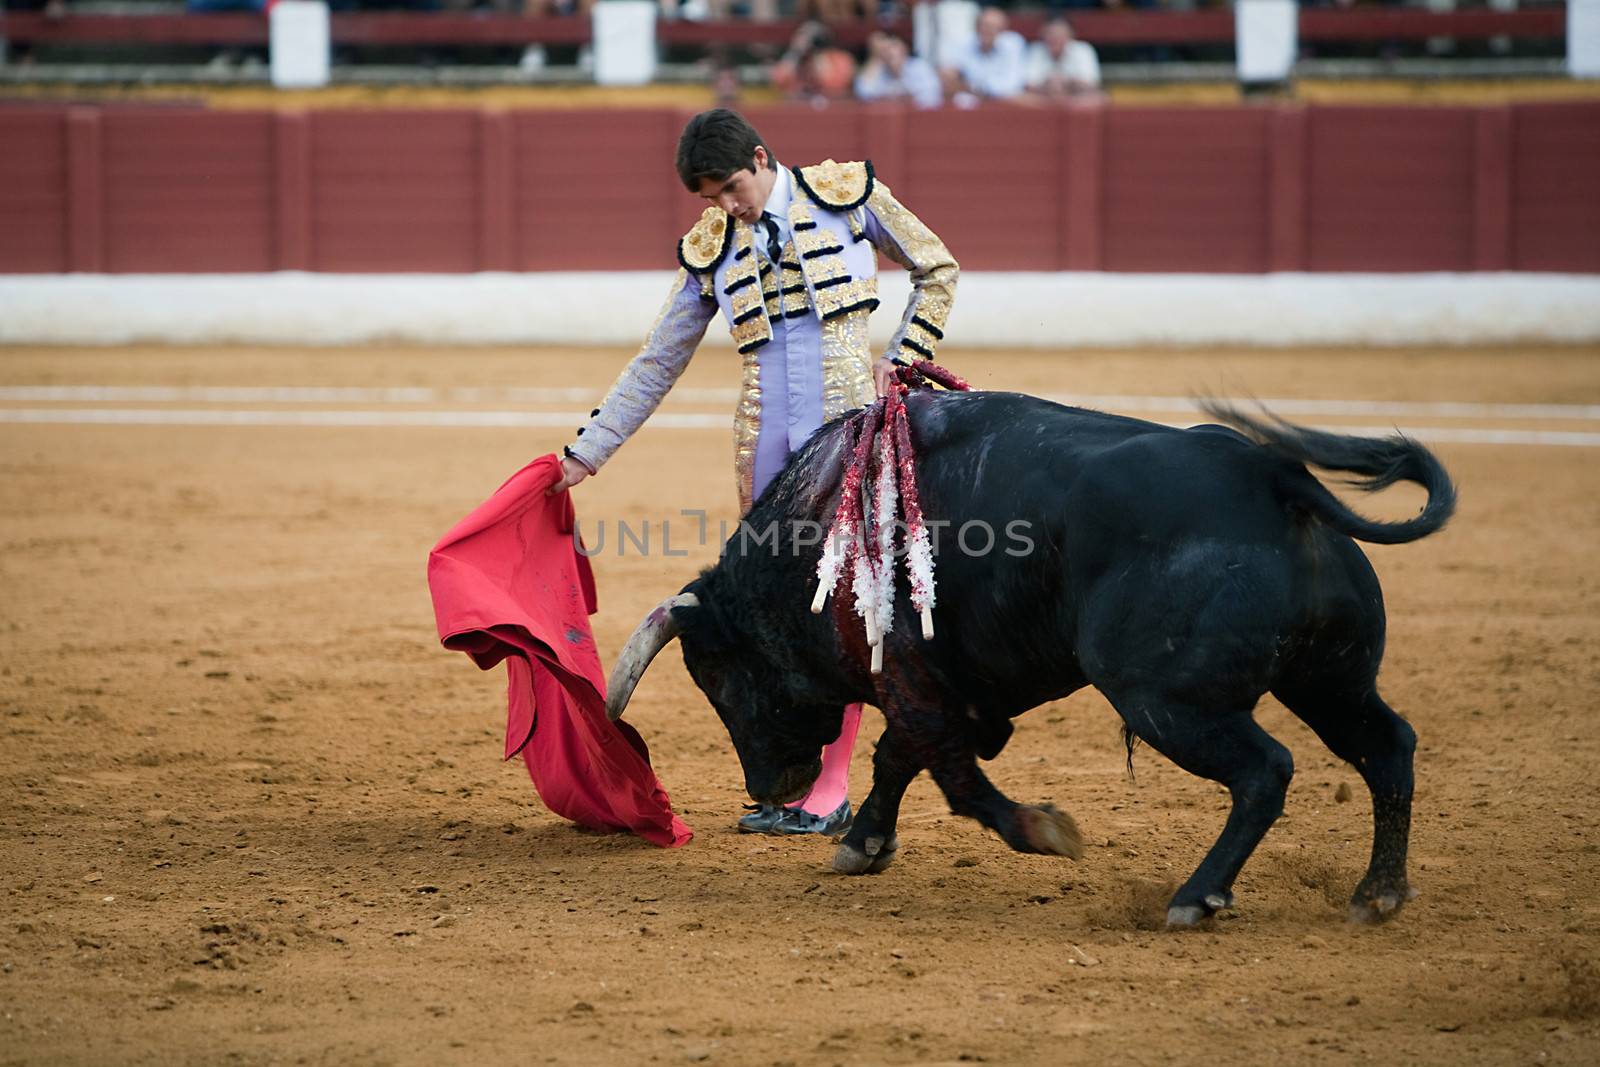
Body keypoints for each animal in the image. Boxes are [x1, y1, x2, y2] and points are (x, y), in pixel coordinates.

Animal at [604, 391, 1459, 927]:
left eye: (719, 679)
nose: (768, 788)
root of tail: (1265, 473)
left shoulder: (913, 680)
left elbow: (952, 776)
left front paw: (1044, 829)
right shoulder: (940, 683)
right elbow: (897, 758)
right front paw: (863, 845)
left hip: (1164, 698)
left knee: (1265, 769)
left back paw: (1196, 895)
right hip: (1330, 678)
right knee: (1387, 745)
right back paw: (1379, 891)